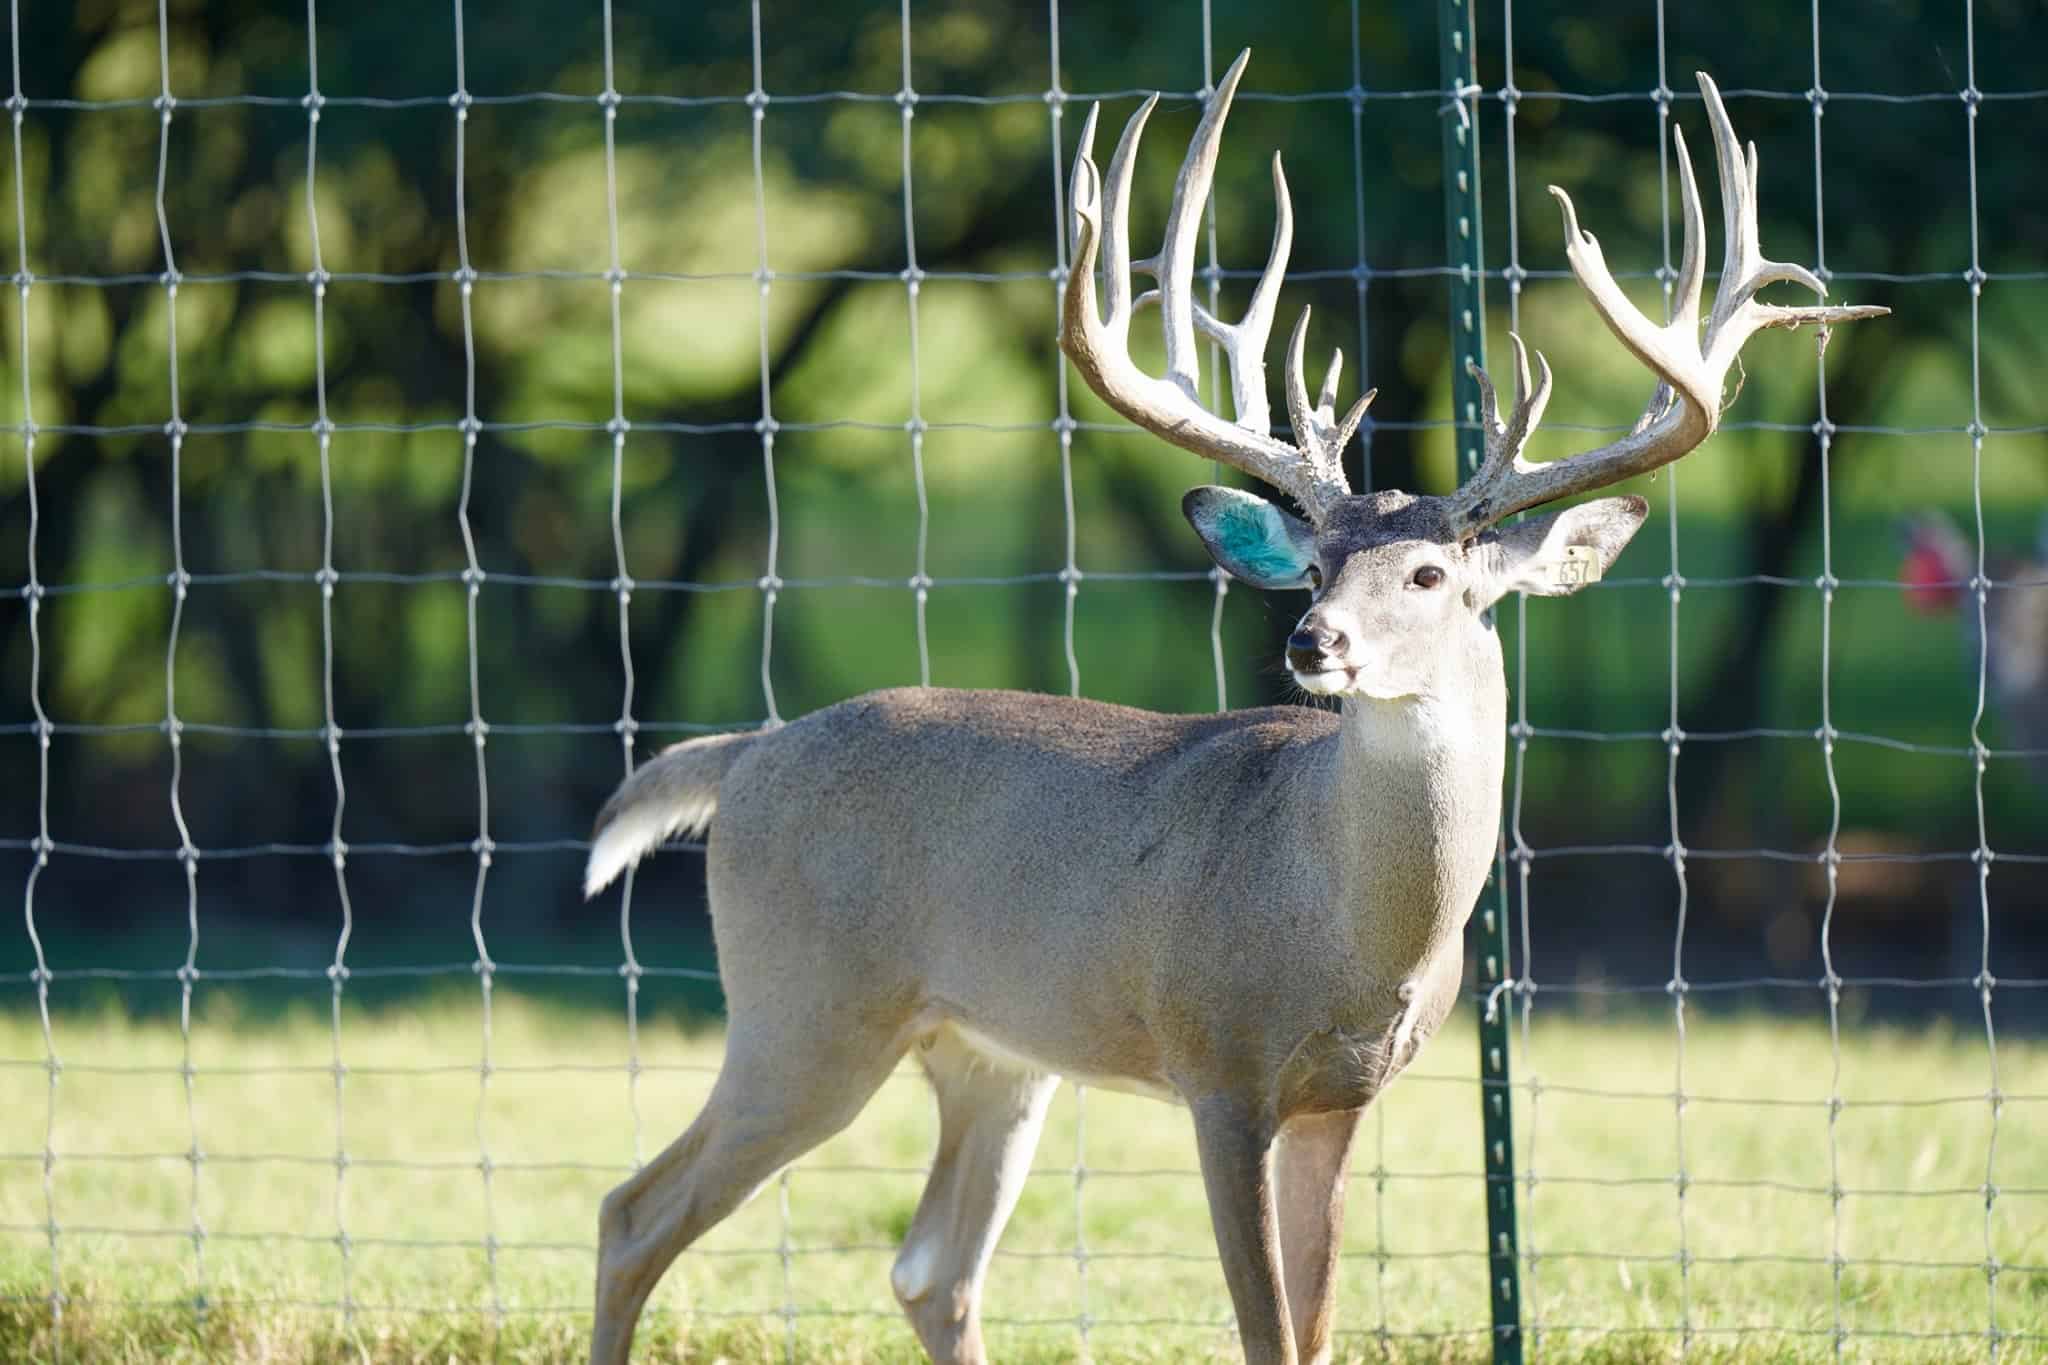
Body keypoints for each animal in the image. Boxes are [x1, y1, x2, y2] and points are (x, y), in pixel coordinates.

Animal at [581, 52, 1884, 1365]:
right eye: (1312, 571)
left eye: (1427, 575)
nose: (1312, 643)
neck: (1347, 929)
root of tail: (746, 757)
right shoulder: (1220, 1071)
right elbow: (1266, 1334)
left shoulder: (1341, 1101)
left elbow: (1312, 1328)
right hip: (804, 1005)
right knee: (633, 1213)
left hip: (990, 1050)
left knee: (928, 1268)